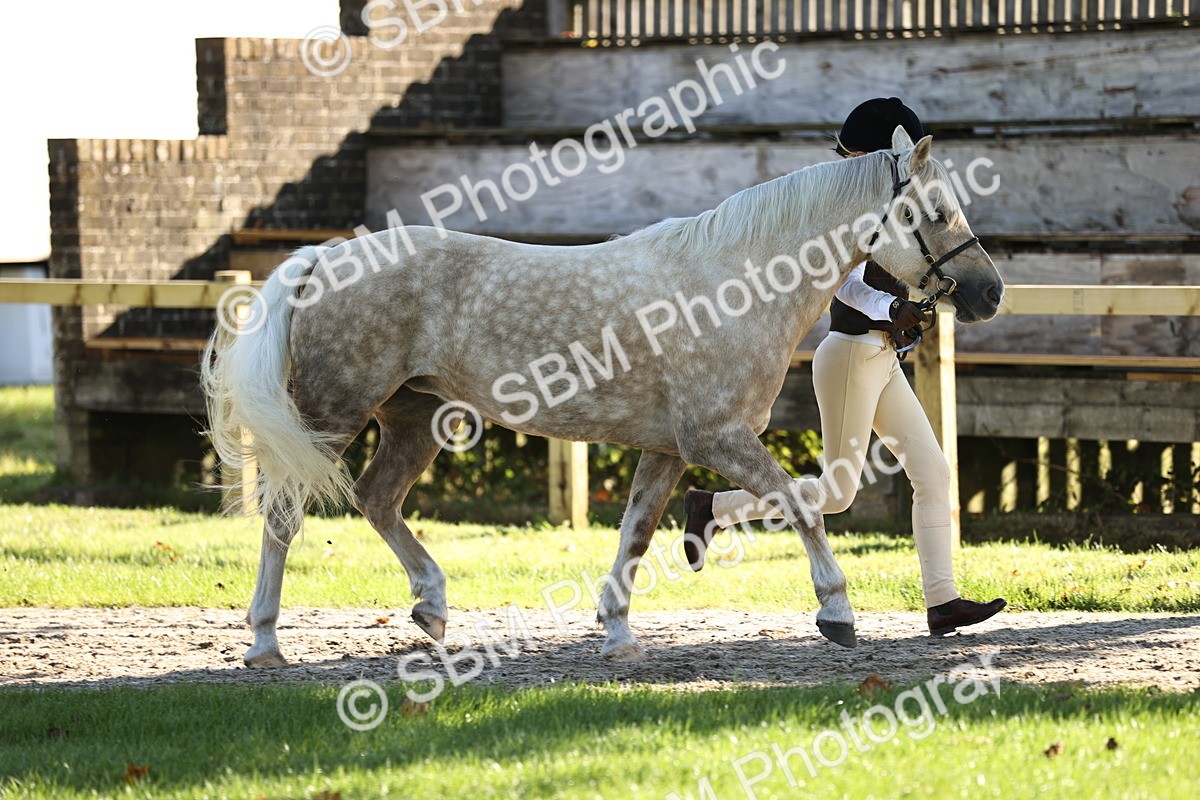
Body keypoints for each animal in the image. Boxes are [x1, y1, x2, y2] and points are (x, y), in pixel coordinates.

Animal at [201, 126, 1004, 667]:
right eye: (933, 211)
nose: (990, 293)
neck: (732, 284)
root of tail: (324, 256)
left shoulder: (668, 448)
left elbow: (638, 534)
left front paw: (617, 633)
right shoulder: (717, 438)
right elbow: (799, 504)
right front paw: (837, 612)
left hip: (415, 417)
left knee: (376, 498)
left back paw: (431, 608)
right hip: (331, 416)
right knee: (283, 517)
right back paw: (265, 643)